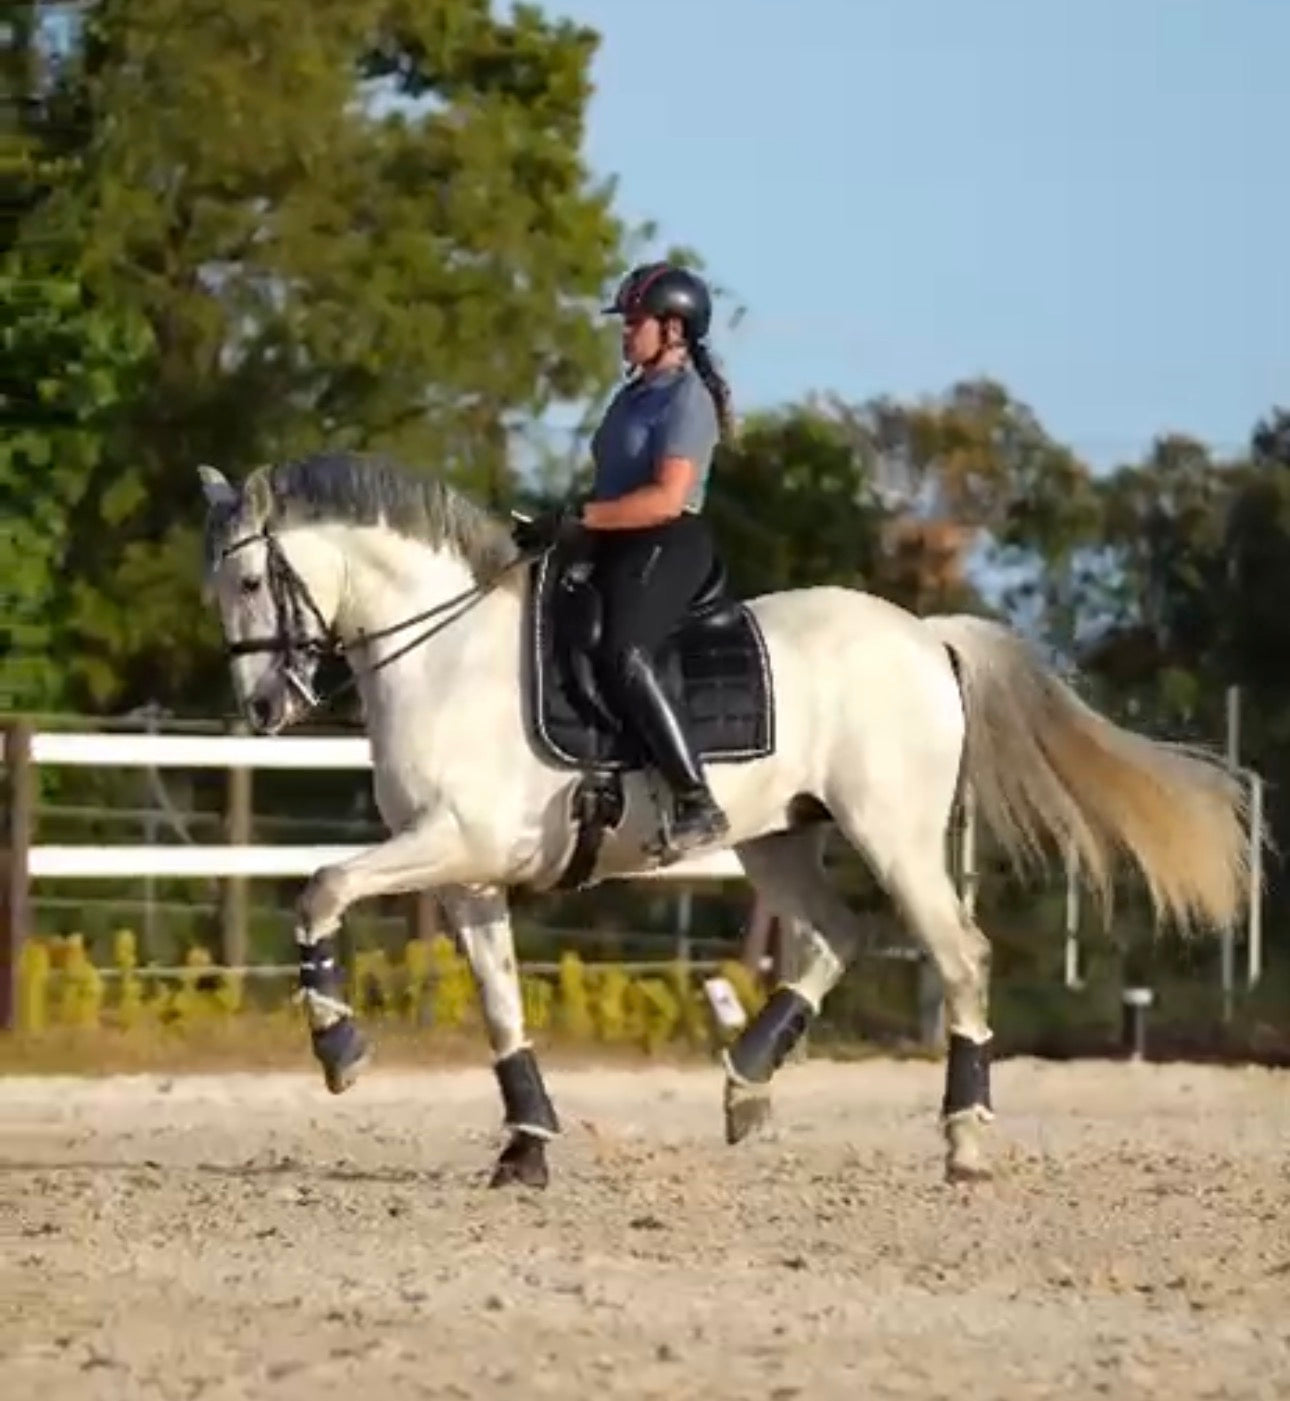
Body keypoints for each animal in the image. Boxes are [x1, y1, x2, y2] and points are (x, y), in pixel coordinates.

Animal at [195, 450, 1250, 1188]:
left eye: (247, 583)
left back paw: (963, 1141)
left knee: (958, 954)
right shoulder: (464, 875)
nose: (262, 708)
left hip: (894, 833)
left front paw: (340, 1052)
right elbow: (499, 999)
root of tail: (923, 633)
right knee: (836, 934)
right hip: (778, 834)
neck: (446, 655)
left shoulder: (456, 844)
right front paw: (525, 1147)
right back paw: (746, 1081)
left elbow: (320, 887)